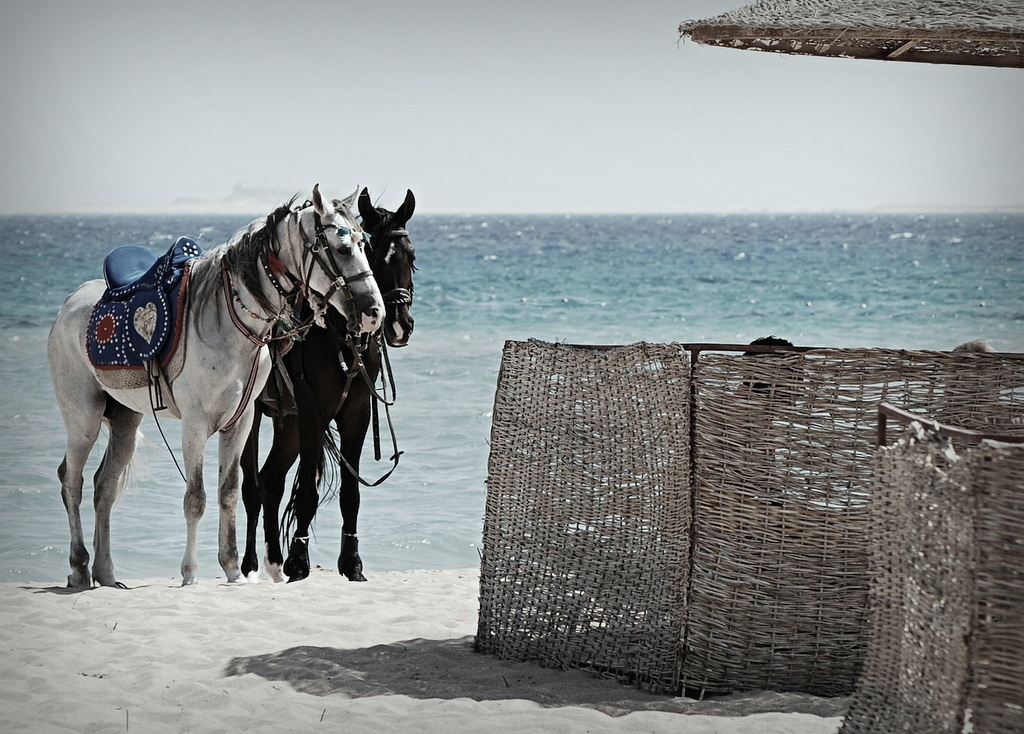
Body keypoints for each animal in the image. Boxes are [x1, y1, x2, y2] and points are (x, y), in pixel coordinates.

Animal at [48, 186, 385, 585]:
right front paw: (190, 573)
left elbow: (229, 491)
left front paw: (232, 568)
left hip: (125, 420)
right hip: (83, 418)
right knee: (72, 481)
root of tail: (69, 304)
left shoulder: (240, 423)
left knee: (105, 487)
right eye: (344, 248)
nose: (375, 312)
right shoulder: (195, 424)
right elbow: (196, 498)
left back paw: (106, 572)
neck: (228, 320)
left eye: (365, 246)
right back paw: (79, 568)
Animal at [240, 186, 415, 581]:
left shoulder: (355, 414)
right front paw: (299, 562)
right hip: (254, 419)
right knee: (251, 487)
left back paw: (274, 562)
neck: (339, 336)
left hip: (287, 424)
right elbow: (307, 491)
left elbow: (352, 494)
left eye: (411, 256)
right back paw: (250, 565)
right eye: (373, 256)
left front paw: (351, 563)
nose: (398, 323)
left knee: (271, 481)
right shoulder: (312, 413)